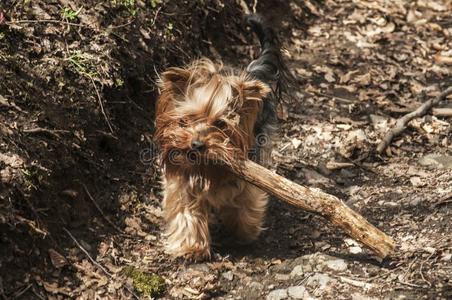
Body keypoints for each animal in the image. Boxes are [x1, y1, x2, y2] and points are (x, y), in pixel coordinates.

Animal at [155, 15, 290, 260]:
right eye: (186, 120)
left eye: (220, 124)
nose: (196, 144)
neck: (207, 167)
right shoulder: (182, 180)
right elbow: (186, 210)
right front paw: (191, 247)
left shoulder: (247, 180)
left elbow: (245, 203)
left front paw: (244, 232)